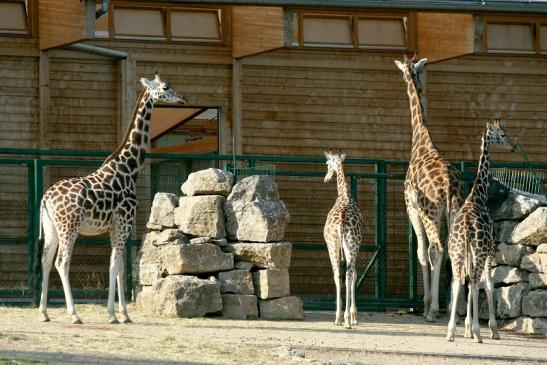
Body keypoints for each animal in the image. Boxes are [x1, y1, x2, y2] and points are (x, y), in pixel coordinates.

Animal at [38, 72, 187, 322]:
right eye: (166, 86)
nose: (184, 98)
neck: (129, 169)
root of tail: (46, 199)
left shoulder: (114, 227)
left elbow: (119, 268)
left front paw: (124, 314)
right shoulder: (124, 223)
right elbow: (115, 267)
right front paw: (113, 315)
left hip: (52, 228)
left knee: (46, 260)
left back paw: (44, 313)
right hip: (70, 226)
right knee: (62, 262)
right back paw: (74, 314)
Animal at [396, 55, 464, 320]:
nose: (420, 87)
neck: (421, 141)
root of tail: (447, 183)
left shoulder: (411, 208)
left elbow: (421, 253)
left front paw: (426, 303)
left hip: (430, 213)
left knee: (437, 248)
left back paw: (433, 309)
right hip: (454, 211)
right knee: (455, 249)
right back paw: (456, 308)